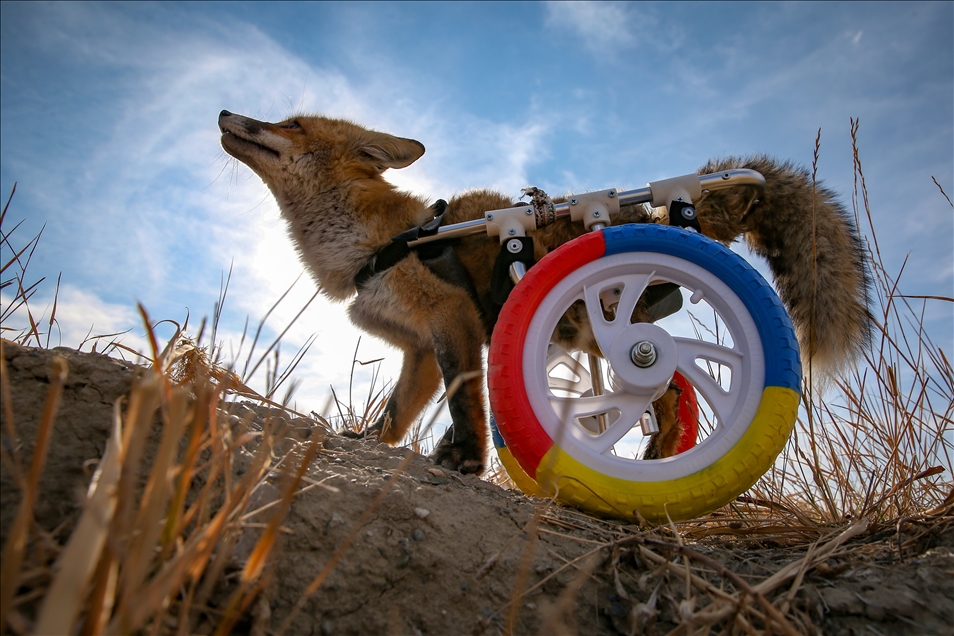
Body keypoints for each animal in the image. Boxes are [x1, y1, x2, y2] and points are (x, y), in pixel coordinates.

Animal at [218, 112, 872, 474]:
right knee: (675, 390)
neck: (377, 242)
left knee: (662, 381)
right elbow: (395, 417)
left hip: (607, 328)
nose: (225, 111)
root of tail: (661, 212)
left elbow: (465, 402)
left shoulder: (453, 319)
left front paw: (469, 461)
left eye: (291, 124)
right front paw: (370, 444)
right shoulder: (421, 350)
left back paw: (660, 460)